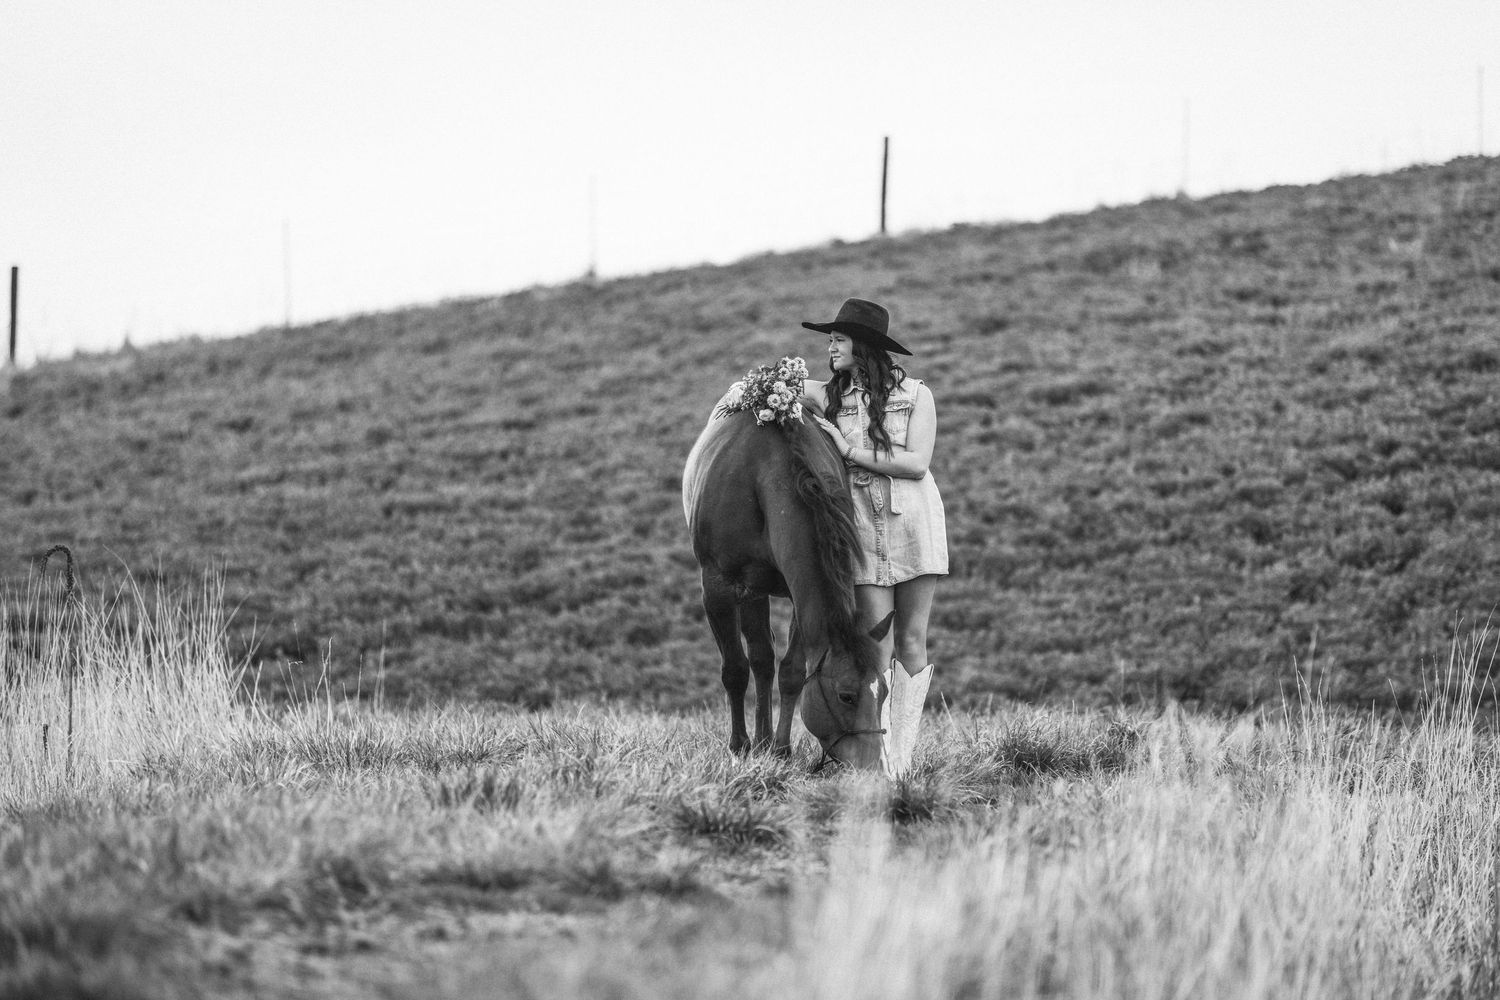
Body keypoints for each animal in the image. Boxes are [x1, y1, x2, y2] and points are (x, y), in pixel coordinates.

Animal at [682, 406, 892, 771]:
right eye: (846, 696)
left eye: (884, 692)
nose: (873, 768)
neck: (761, 473)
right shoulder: (717, 589)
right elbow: (734, 669)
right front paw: (739, 746)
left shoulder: (800, 595)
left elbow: (792, 672)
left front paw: (781, 749)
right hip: (746, 591)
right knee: (756, 659)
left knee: (764, 659)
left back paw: (766, 741)